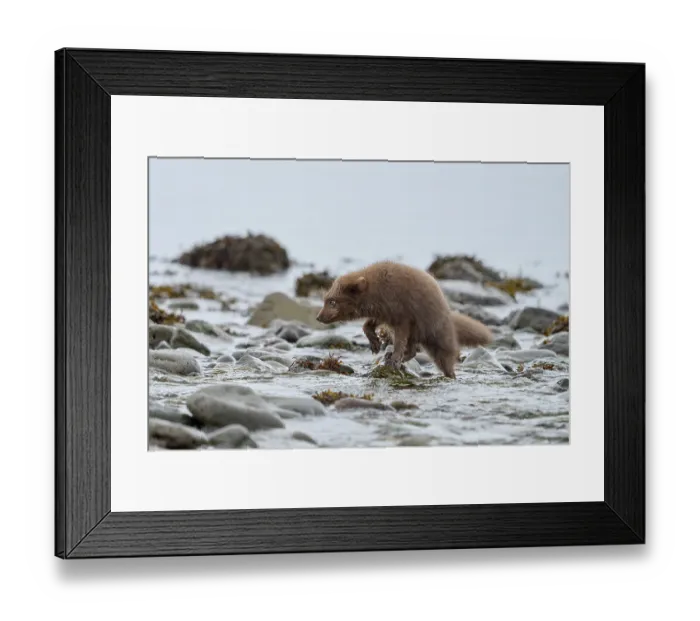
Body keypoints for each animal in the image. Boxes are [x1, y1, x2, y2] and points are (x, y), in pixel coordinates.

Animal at [315, 261, 493, 378]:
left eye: (332, 302)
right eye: (325, 300)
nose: (318, 317)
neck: (377, 288)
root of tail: (449, 316)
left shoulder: (403, 318)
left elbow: (400, 342)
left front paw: (394, 360)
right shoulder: (385, 313)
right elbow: (367, 325)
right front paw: (375, 343)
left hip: (437, 338)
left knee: (445, 361)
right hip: (418, 335)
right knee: (413, 351)